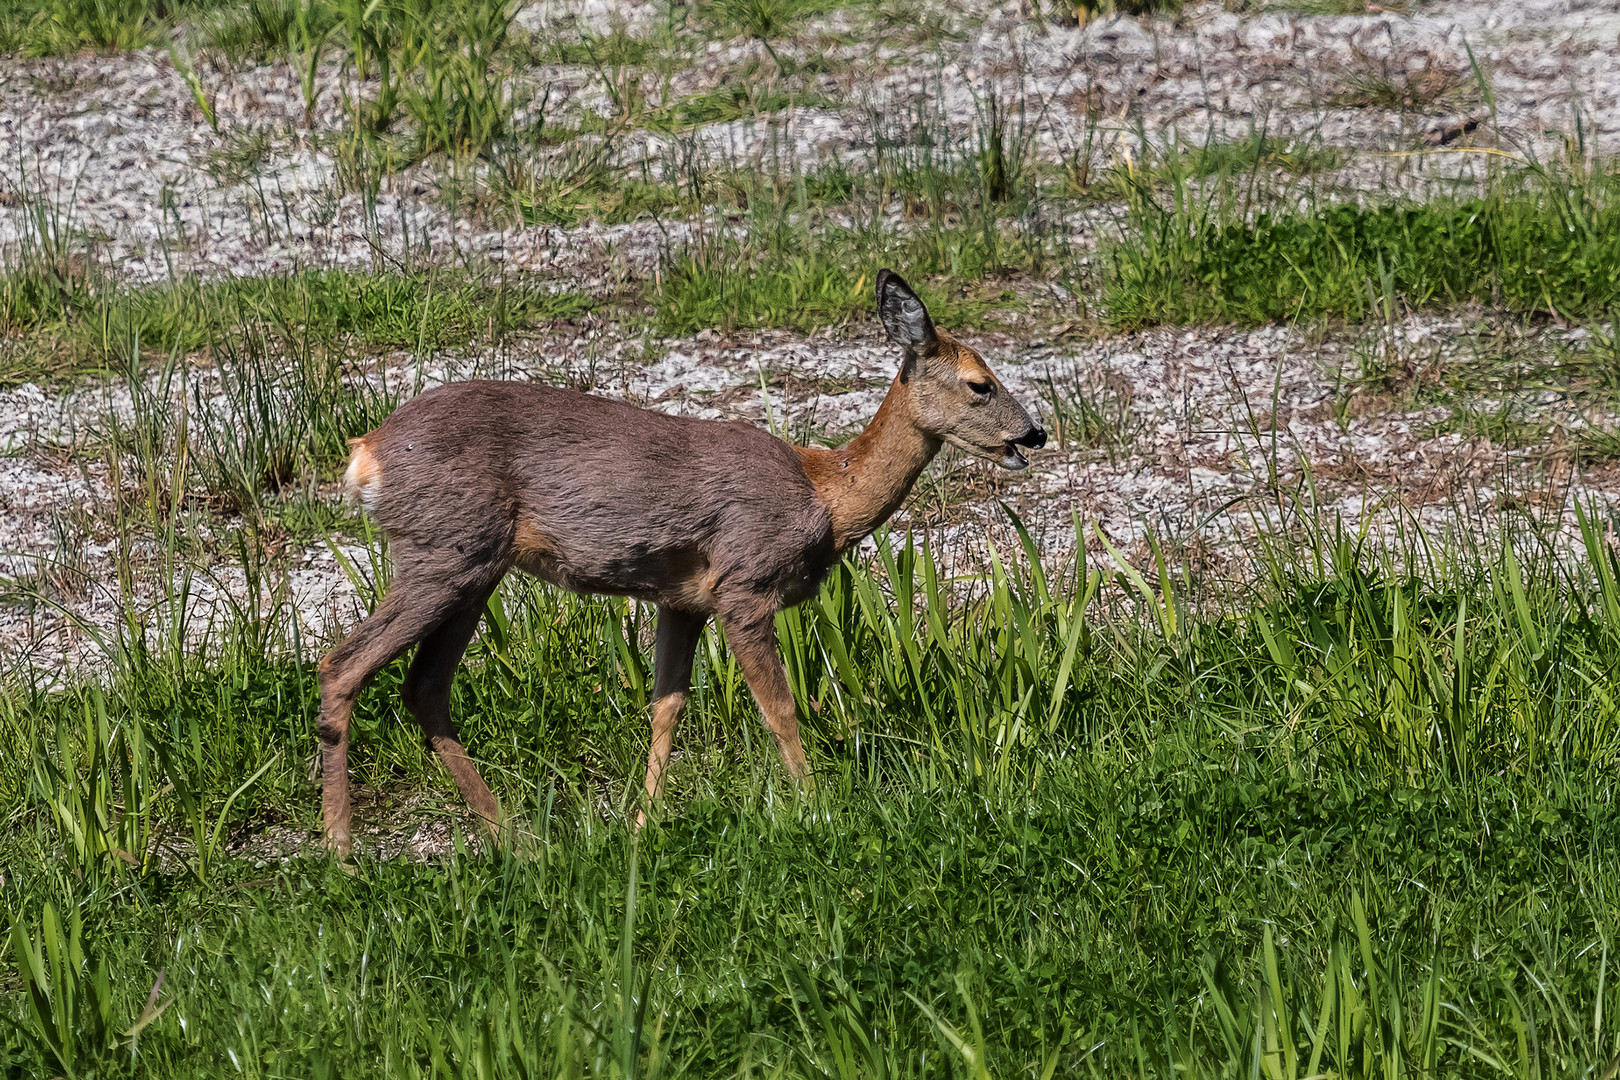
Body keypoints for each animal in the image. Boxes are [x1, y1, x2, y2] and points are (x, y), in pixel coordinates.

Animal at [319, 268, 1049, 854]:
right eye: (981, 384)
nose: (1035, 433)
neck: (824, 492)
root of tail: (365, 453)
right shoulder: (743, 583)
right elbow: (780, 706)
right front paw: (819, 810)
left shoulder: (684, 600)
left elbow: (665, 708)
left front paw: (641, 827)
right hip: (444, 552)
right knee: (342, 665)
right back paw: (342, 850)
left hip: (471, 567)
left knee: (423, 687)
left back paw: (513, 839)